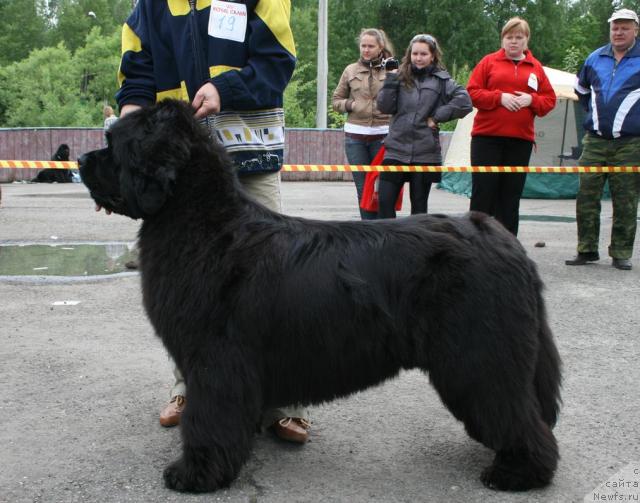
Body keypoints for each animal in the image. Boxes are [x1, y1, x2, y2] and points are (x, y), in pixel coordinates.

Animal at [79, 100, 560, 494]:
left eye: (114, 143)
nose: (81, 158)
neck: (206, 224)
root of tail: (503, 238)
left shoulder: (215, 361)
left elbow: (207, 419)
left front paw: (196, 474)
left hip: (477, 356)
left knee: (517, 414)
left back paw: (518, 473)